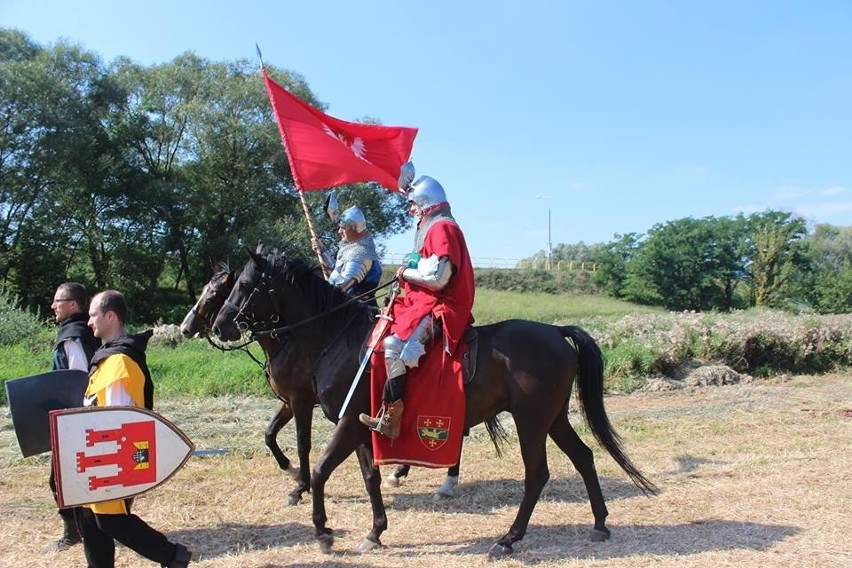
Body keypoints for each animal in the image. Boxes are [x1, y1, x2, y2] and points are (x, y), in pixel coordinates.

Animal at [215, 250, 660, 560]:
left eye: (245, 286)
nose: (221, 325)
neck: (337, 337)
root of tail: (556, 332)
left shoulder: (345, 422)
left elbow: (322, 468)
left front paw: (323, 532)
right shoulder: (359, 426)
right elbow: (370, 477)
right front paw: (375, 531)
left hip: (531, 421)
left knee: (537, 475)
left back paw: (508, 540)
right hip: (553, 418)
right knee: (584, 457)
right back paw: (599, 524)